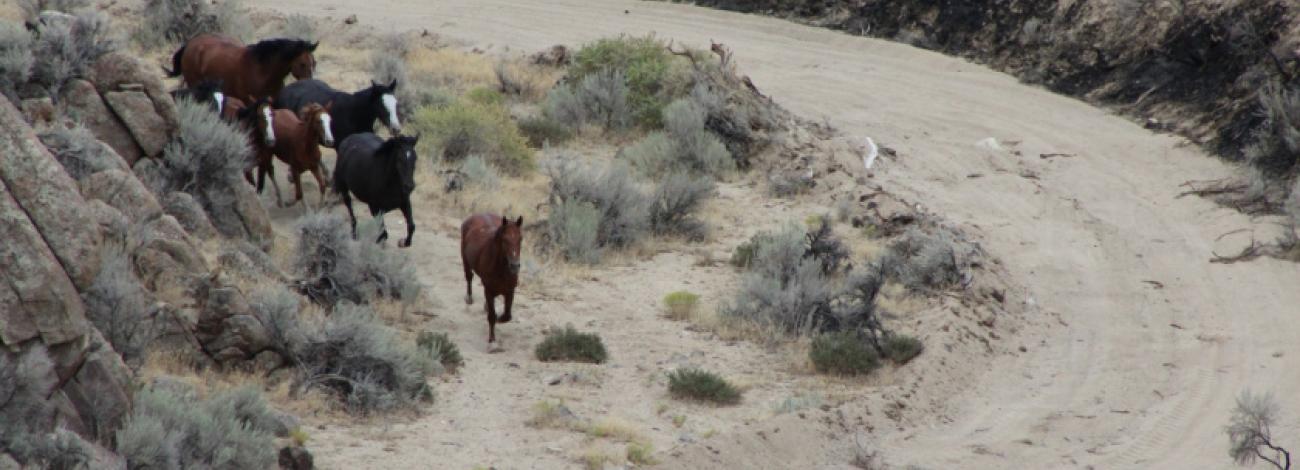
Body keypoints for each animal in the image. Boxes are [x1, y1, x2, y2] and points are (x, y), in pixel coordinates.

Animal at [465, 214, 525, 347]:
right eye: (505, 239)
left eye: (520, 239)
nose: (514, 266)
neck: (501, 269)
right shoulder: (489, 290)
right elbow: (492, 316)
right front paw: (492, 340)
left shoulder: (510, 291)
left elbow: (507, 316)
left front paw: (500, 319)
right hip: (465, 260)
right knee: (468, 277)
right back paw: (469, 298)